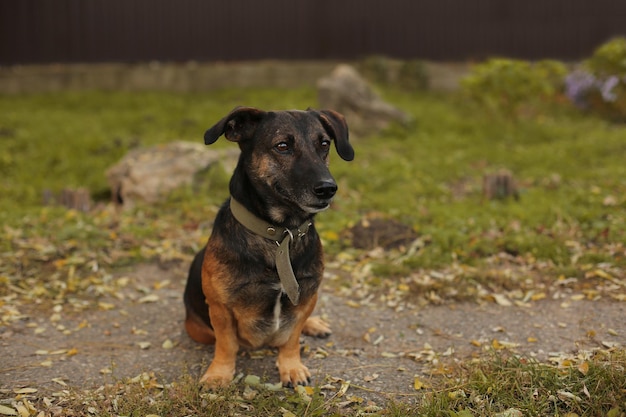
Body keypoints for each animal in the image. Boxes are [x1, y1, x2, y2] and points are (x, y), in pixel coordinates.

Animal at [183, 106, 354, 386]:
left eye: (324, 144)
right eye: (282, 146)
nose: (328, 188)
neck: (281, 234)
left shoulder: (306, 295)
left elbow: (291, 337)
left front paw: (291, 366)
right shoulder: (220, 308)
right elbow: (227, 344)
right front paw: (219, 374)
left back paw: (314, 324)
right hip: (197, 328)